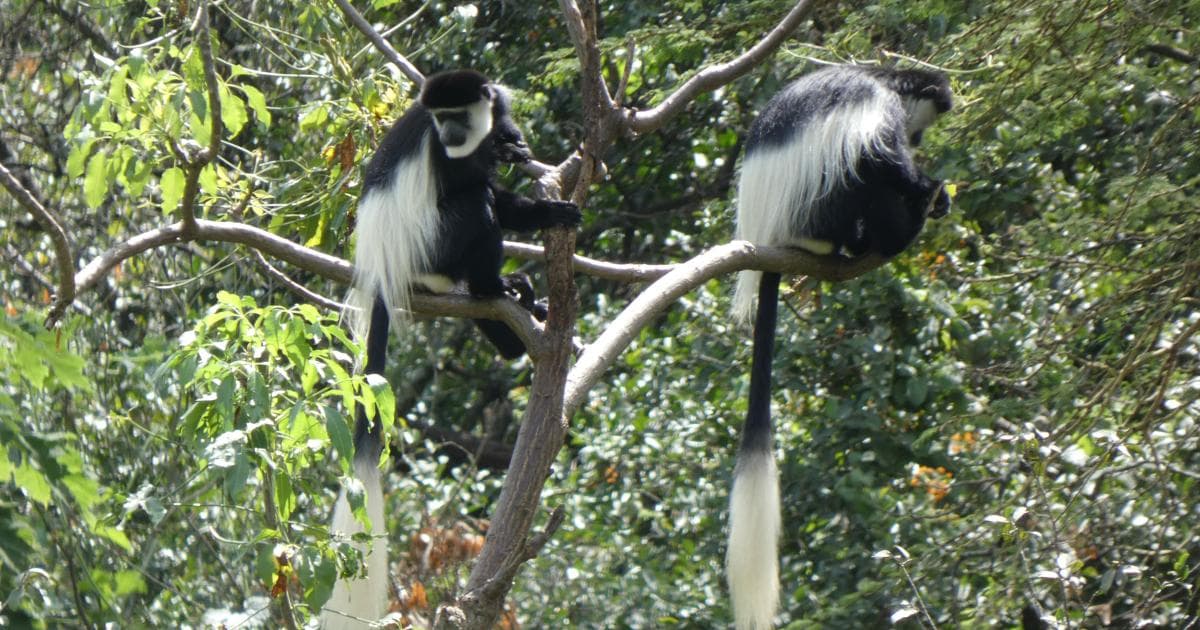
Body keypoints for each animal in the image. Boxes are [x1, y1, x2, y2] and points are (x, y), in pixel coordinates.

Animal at [321, 66, 578, 624]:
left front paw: (543, 200)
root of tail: (382, 268)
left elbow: (500, 175)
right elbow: (477, 189)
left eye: (457, 114)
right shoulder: (442, 157)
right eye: (440, 120)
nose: (453, 133)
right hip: (431, 248)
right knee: (475, 208)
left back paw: (515, 306)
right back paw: (493, 290)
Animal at [720, 65, 955, 628]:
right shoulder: (877, 110)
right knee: (862, 175)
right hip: (821, 209)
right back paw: (886, 236)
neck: (887, 80)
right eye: (918, 127)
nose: (919, 141)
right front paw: (928, 187)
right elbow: (882, 159)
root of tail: (772, 239)